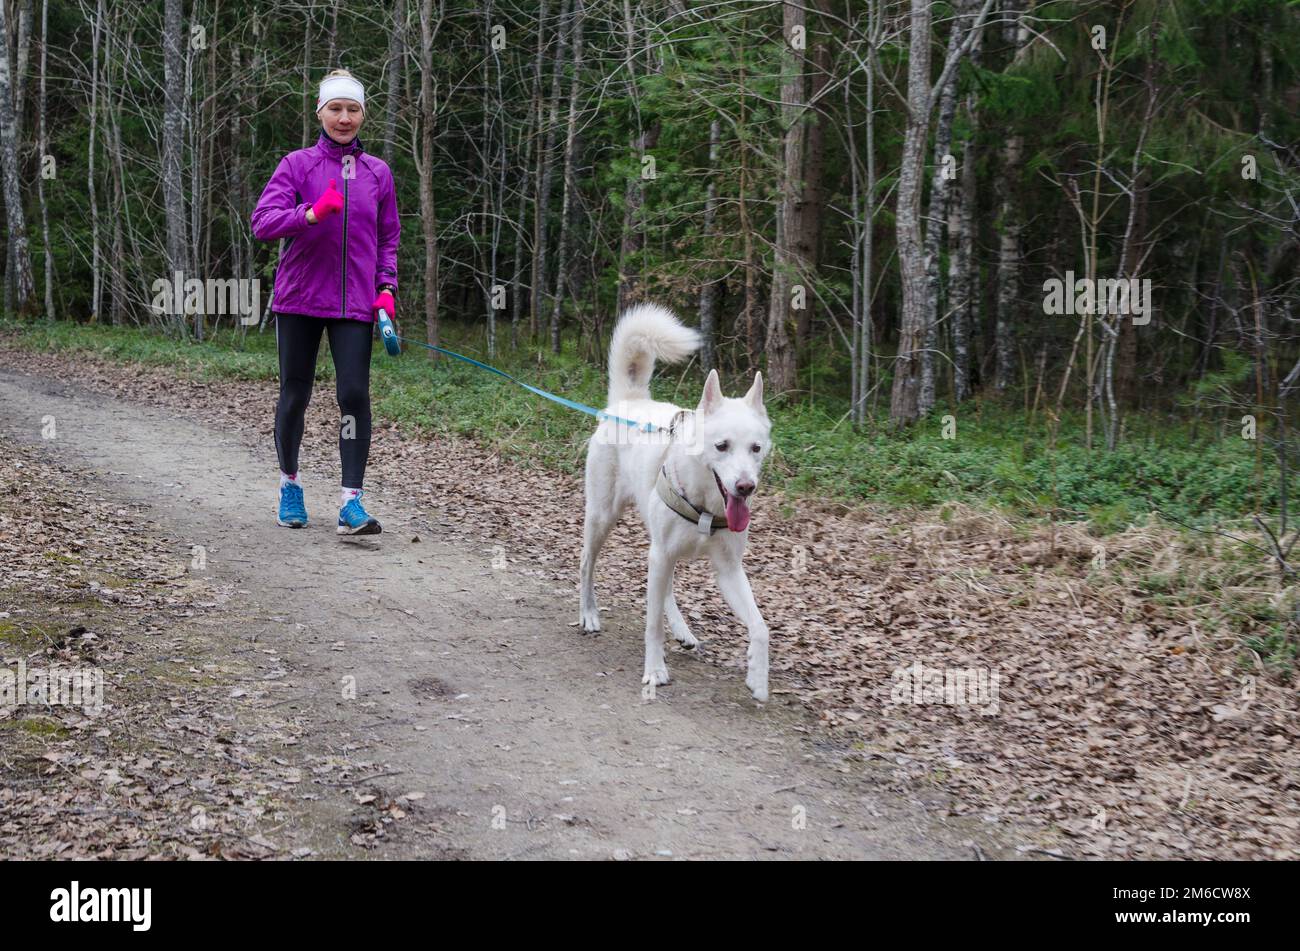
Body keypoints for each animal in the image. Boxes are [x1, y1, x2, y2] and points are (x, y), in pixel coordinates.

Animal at [579, 302, 769, 696]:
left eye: (756, 448)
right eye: (721, 446)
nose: (745, 487)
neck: (707, 503)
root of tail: (628, 401)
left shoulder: (728, 570)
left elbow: (761, 628)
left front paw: (758, 678)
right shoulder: (661, 555)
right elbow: (652, 627)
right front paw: (655, 670)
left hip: (661, 550)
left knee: (664, 589)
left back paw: (682, 631)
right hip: (603, 519)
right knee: (586, 564)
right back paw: (588, 613)